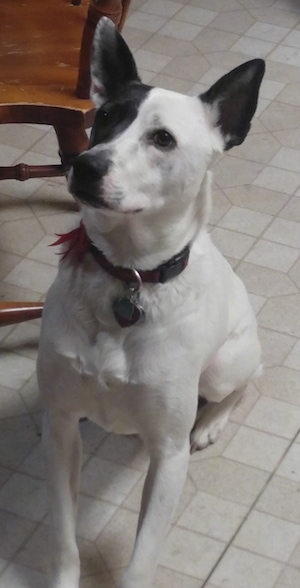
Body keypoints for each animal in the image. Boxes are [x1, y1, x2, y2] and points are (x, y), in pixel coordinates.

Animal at [37, 17, 264, 588]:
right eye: (104, 119)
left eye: (162, 138)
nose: (83, 166)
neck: (128, 277)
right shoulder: (62, 430)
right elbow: (64, 536)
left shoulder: (168, 456)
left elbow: (142, 558)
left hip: (224, 366)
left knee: (241, 385)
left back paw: (211, 423)